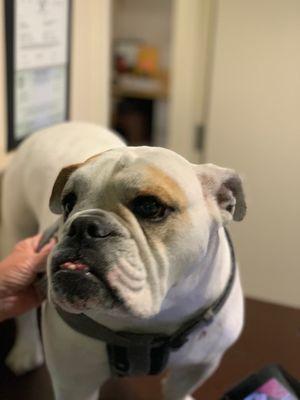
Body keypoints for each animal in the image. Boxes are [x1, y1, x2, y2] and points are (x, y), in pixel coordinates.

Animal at [0, 122, 246, 400]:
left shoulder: (198, 367)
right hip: (16, 232)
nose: (83, 225)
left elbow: (177, 389)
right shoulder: (73, 382)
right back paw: (26, 350)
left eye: (150, 206)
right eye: (68, 203)